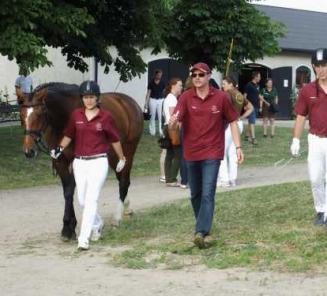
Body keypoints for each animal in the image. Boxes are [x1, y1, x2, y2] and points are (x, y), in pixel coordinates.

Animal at [20, 82, 144, 240]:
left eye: (39, 113)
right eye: (22, 115)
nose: (29, 151)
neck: (63, 119)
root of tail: (130, 103)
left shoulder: (76, 160)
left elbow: (70, 190)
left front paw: (69, 228)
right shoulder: (60, 160)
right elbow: (67, 191)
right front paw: (68, 227)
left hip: (128, 150)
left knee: (124, 181)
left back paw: (117, 218)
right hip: (113, 155)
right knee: (120, 177)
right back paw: (127, 207)